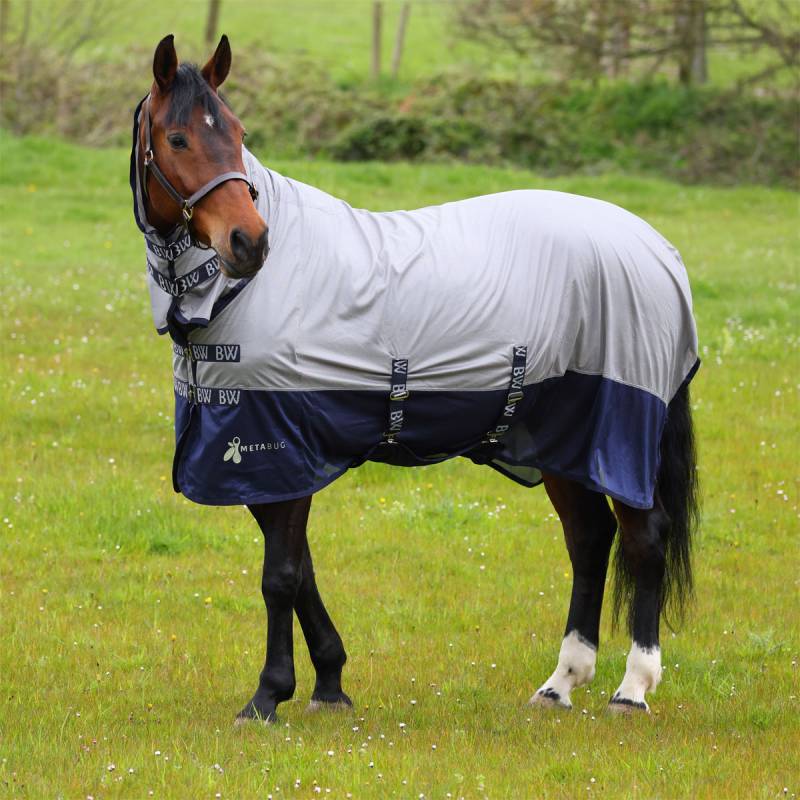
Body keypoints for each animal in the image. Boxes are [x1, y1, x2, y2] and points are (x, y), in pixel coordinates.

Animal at [131, 34, 700, 724]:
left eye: (238, 133)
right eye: (179, 138)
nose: (250, 242)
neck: (237, 294)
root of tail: (657, 250)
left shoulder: (277, 447)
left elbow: (280, 577)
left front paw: (270, 694)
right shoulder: (269, 460)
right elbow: (302, 569)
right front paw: (329, 682)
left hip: (622, 430)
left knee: (644, 539)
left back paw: (632, 688)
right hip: (566, 439)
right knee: (590, 540)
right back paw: (561, 683)